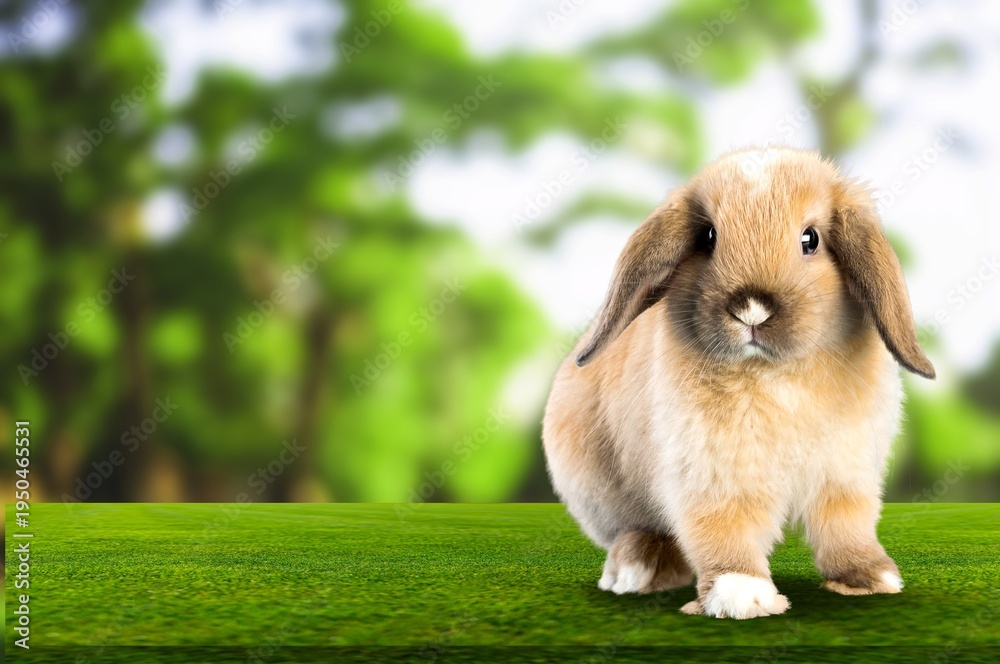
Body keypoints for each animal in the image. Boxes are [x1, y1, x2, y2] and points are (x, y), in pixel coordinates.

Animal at [542, 147, 935, 619]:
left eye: (811, 239)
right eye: (708, 236)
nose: (752, 308)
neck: (774, 372)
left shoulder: (845, 476)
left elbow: (844, 527)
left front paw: (869, 577)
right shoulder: (710, 477)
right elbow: (722, 531)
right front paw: (742, 594)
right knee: (638, 531)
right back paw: (637, 570)